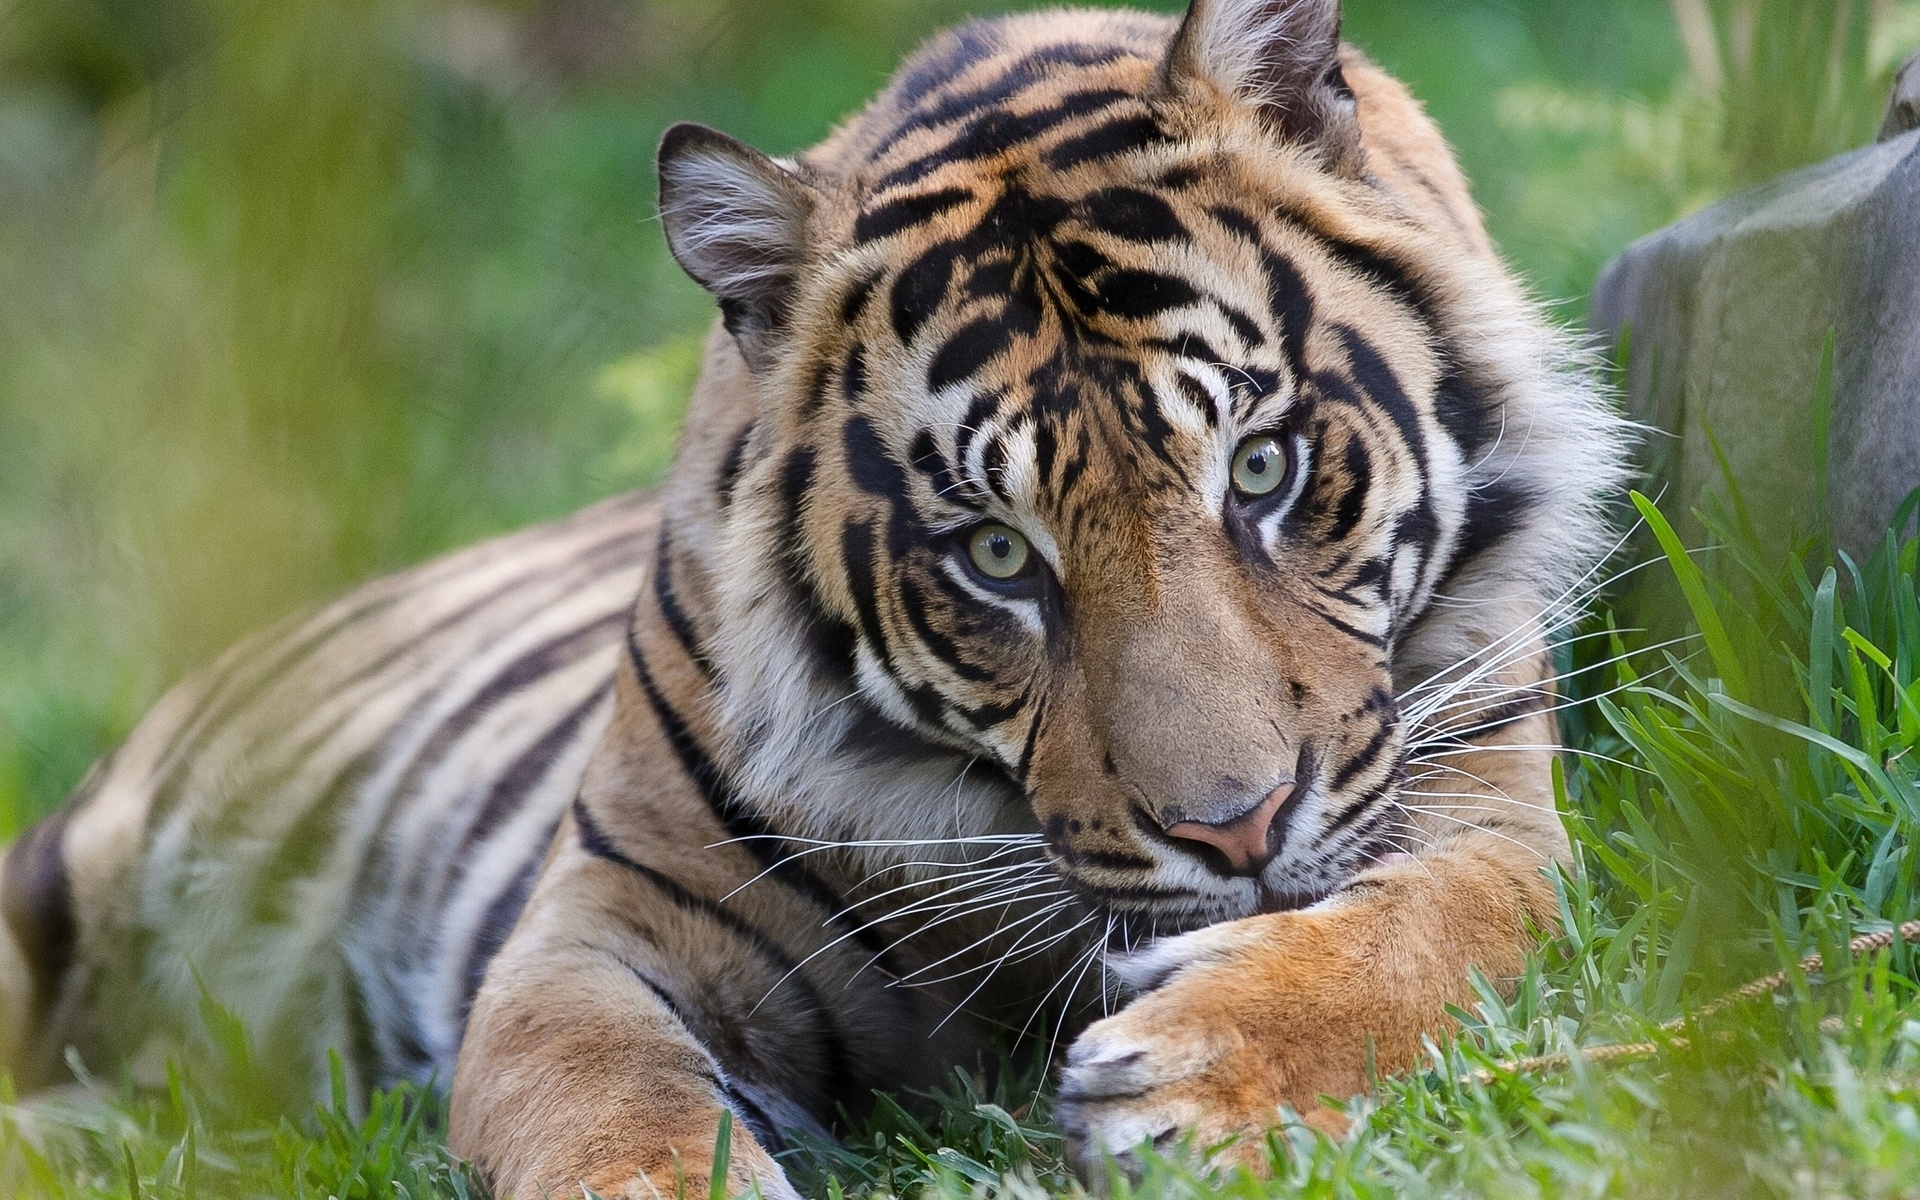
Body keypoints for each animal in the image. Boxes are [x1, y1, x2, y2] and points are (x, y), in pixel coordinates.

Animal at [0, 0, 1628, 1190]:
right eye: (995, 555)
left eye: (1266, 467)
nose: (1235, 832)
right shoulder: (594, 924)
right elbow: (602, 1102)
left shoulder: (1484, 808)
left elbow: (1428, 932)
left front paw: (1193, 1082)